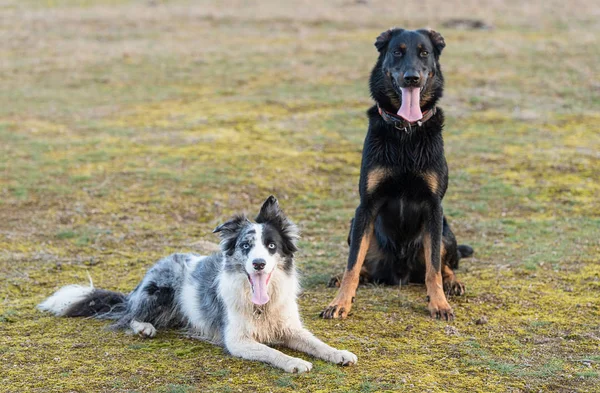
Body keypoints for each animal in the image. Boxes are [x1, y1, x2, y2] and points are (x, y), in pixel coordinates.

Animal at [38, 198, 356, 372]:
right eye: (245, 246)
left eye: (271, 246)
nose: (258, 264)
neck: (260, 306)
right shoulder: (237, 340)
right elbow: (272, 352)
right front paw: (294, 362)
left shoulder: (290, 328)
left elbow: (317, 343)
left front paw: (339, 353)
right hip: (159, 291)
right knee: (129, 317)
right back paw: (144, 327)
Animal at [322, 28, 472, 322]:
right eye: (397, 52)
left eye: (424, 53)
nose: (411, 78)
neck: (406, 132)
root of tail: (400, 274)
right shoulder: (366, 207)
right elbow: (352, 264)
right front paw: (340, 302)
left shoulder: (433, 207)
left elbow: (434, 268)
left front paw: (439, 304)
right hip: (356, 226)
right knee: (363, 264)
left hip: (444, 229)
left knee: (444, 264)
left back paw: (453, 283)